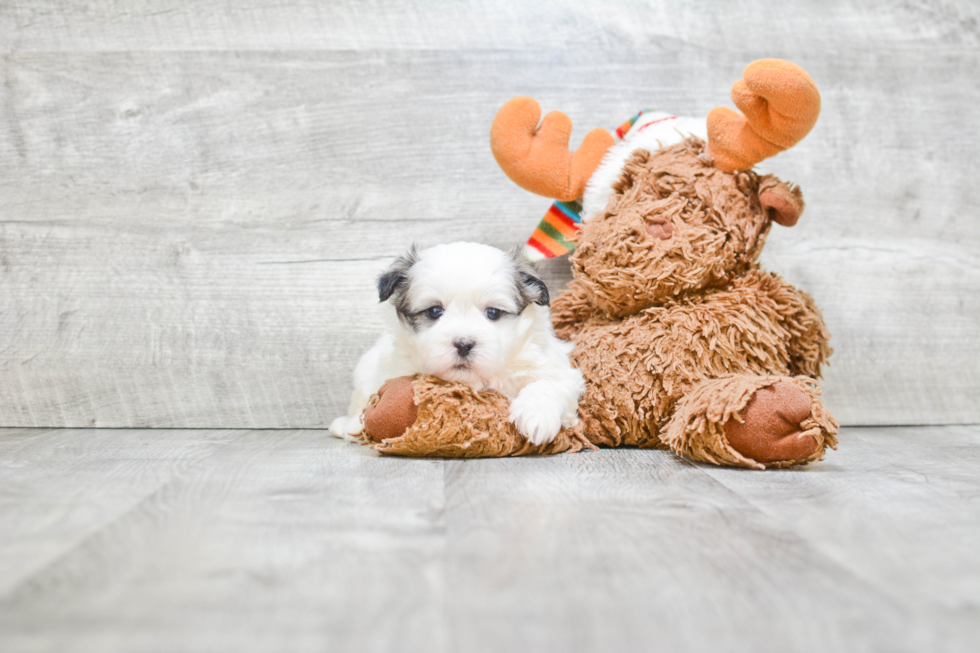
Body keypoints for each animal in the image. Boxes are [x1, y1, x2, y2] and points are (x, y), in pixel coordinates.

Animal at [334, 242, 584, 446]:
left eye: (493, 313)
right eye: (435, 311)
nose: (464, 344)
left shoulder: (557, 369)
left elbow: (548, 383)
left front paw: (536, 416)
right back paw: (349, 425)